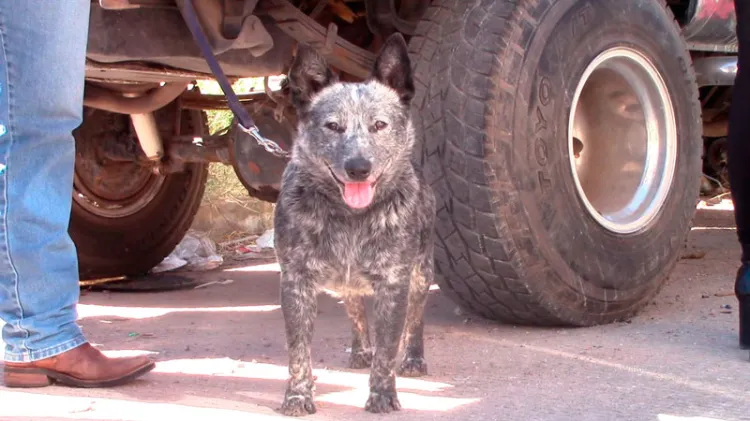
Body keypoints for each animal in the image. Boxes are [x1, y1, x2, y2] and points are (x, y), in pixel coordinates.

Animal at [274, 32, 440, 414]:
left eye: (379, 125)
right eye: (332, 126)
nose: (358, 167)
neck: (350, 217)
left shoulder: (394, 284)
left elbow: (388, 349)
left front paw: (382, 393)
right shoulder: (295, 283)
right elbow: (298, 352)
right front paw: (298, 395)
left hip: (422, 273)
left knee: (415, 319)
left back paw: (413, 357)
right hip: (345, 285)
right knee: (355, 309)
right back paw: (361, 349)